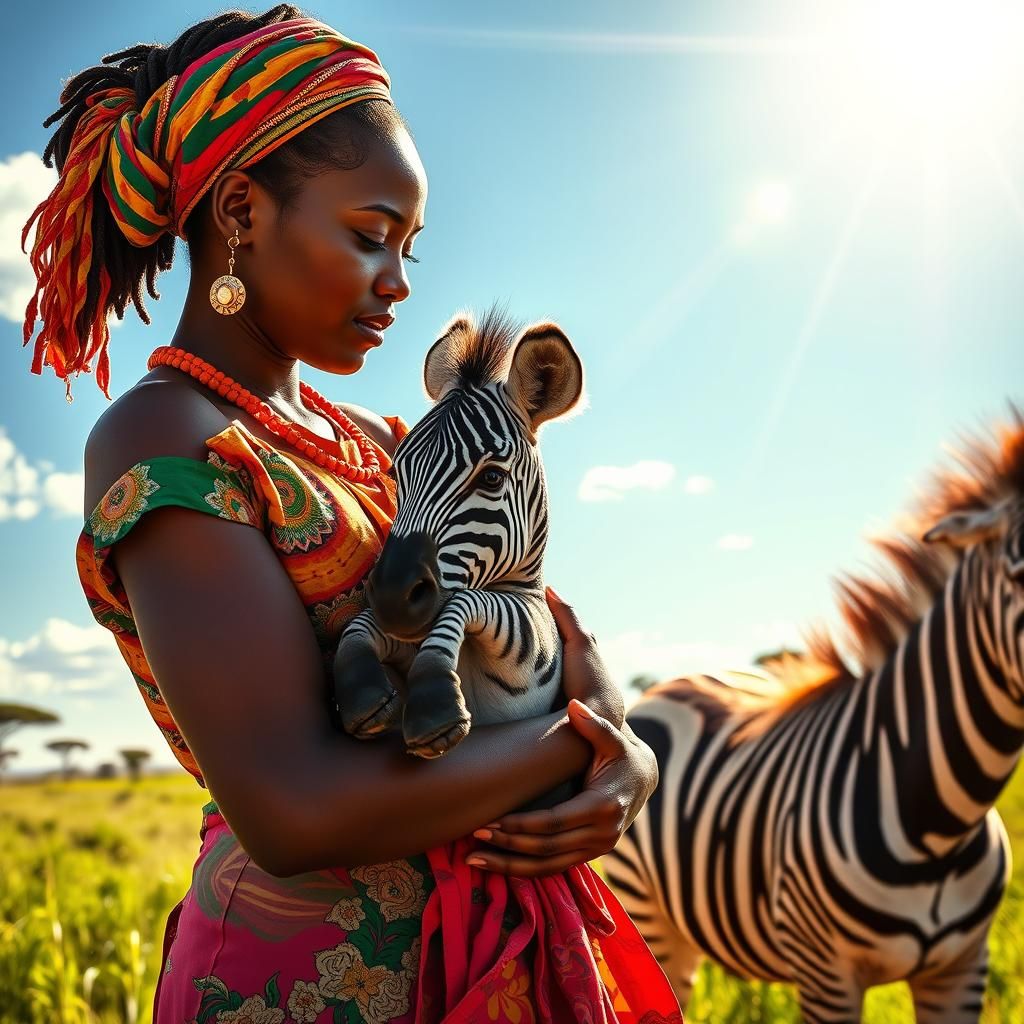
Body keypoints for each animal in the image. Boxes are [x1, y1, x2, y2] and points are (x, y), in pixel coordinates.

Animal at [333, 306, 584, 759]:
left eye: (491, 478)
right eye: (396, 475)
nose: (393, 599)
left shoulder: (535, 642)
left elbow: (471, 599)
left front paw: (433, 697)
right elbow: (360, 624)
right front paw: (360, 686)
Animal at [603, 410, 1024, 1023]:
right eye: (1019, 573)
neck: (941, 823)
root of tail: (678, 681)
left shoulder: (964, 968)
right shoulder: (829, 976)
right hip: (649, 911)